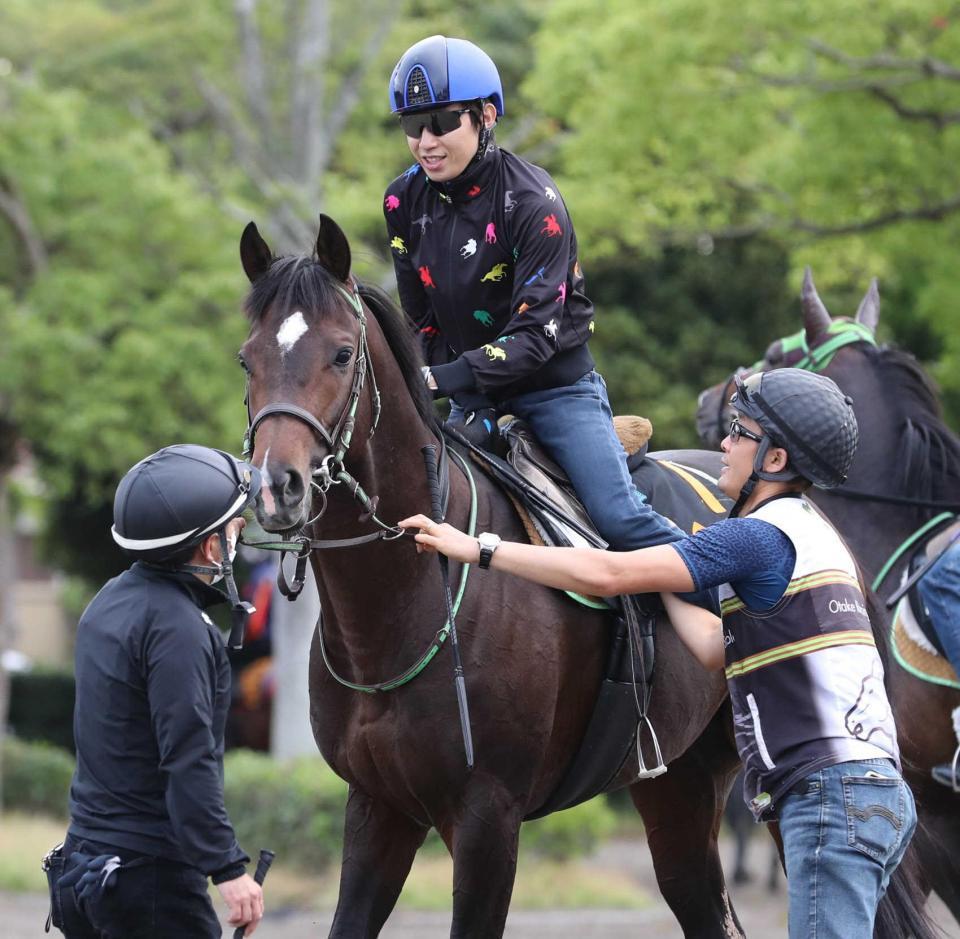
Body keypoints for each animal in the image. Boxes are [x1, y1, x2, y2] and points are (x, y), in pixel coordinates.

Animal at [236, 215, 748, 939]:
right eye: (246, 359)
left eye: (339, 354)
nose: (276, 486)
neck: (401, 605)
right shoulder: (378, 807)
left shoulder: (488, 817)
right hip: (680, 782)